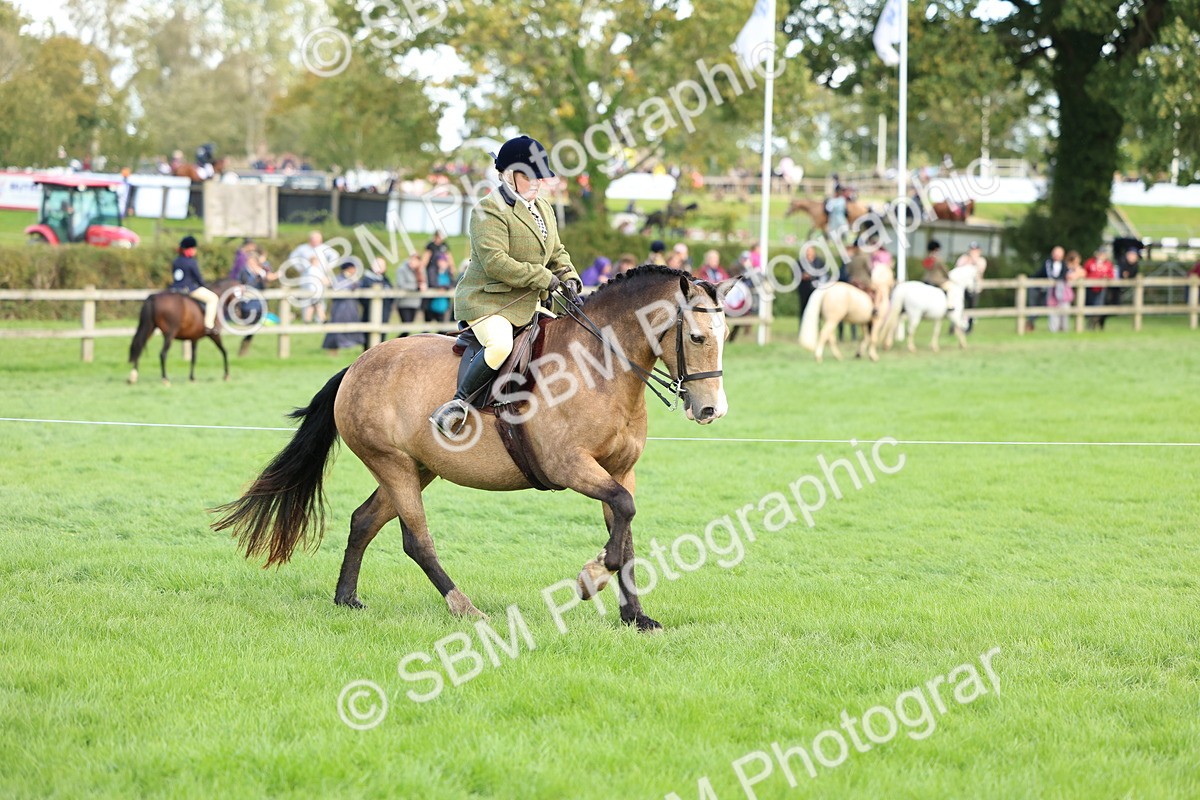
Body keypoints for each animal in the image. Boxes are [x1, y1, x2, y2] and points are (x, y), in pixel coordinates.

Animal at [211, 266, 731, 632]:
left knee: (363, 521)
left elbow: (626, 532)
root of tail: (359, 363)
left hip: (417, 468)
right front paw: (591, 578)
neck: (600, 368)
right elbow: (623, 515)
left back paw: (347, 598)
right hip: (393, 465)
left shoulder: (620, 470)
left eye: (724, 337)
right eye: (696, 337)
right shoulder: (571, 467)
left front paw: (635, 616)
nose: (710, 410)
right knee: (416, 541)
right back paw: (465, 607)